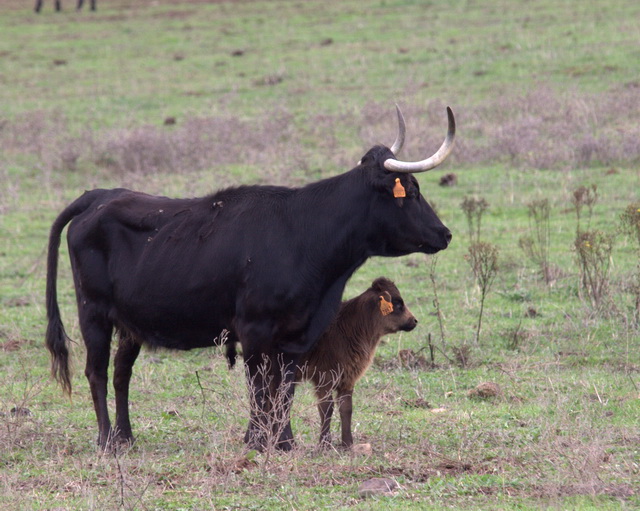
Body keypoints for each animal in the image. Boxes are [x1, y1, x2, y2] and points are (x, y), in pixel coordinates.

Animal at [45, 105, 456, 452]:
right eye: (412, 192)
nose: (446, 233)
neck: (304, 232)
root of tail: (99, 195)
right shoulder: (254, 330)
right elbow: (260, 387)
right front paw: (258, 440)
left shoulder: (296, 335)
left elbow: (284, 388)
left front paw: (284, 441)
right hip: (93, 313)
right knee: (96, 372)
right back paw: (106, 441)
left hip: (130, 323)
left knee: (121, 373)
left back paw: (126, 437)